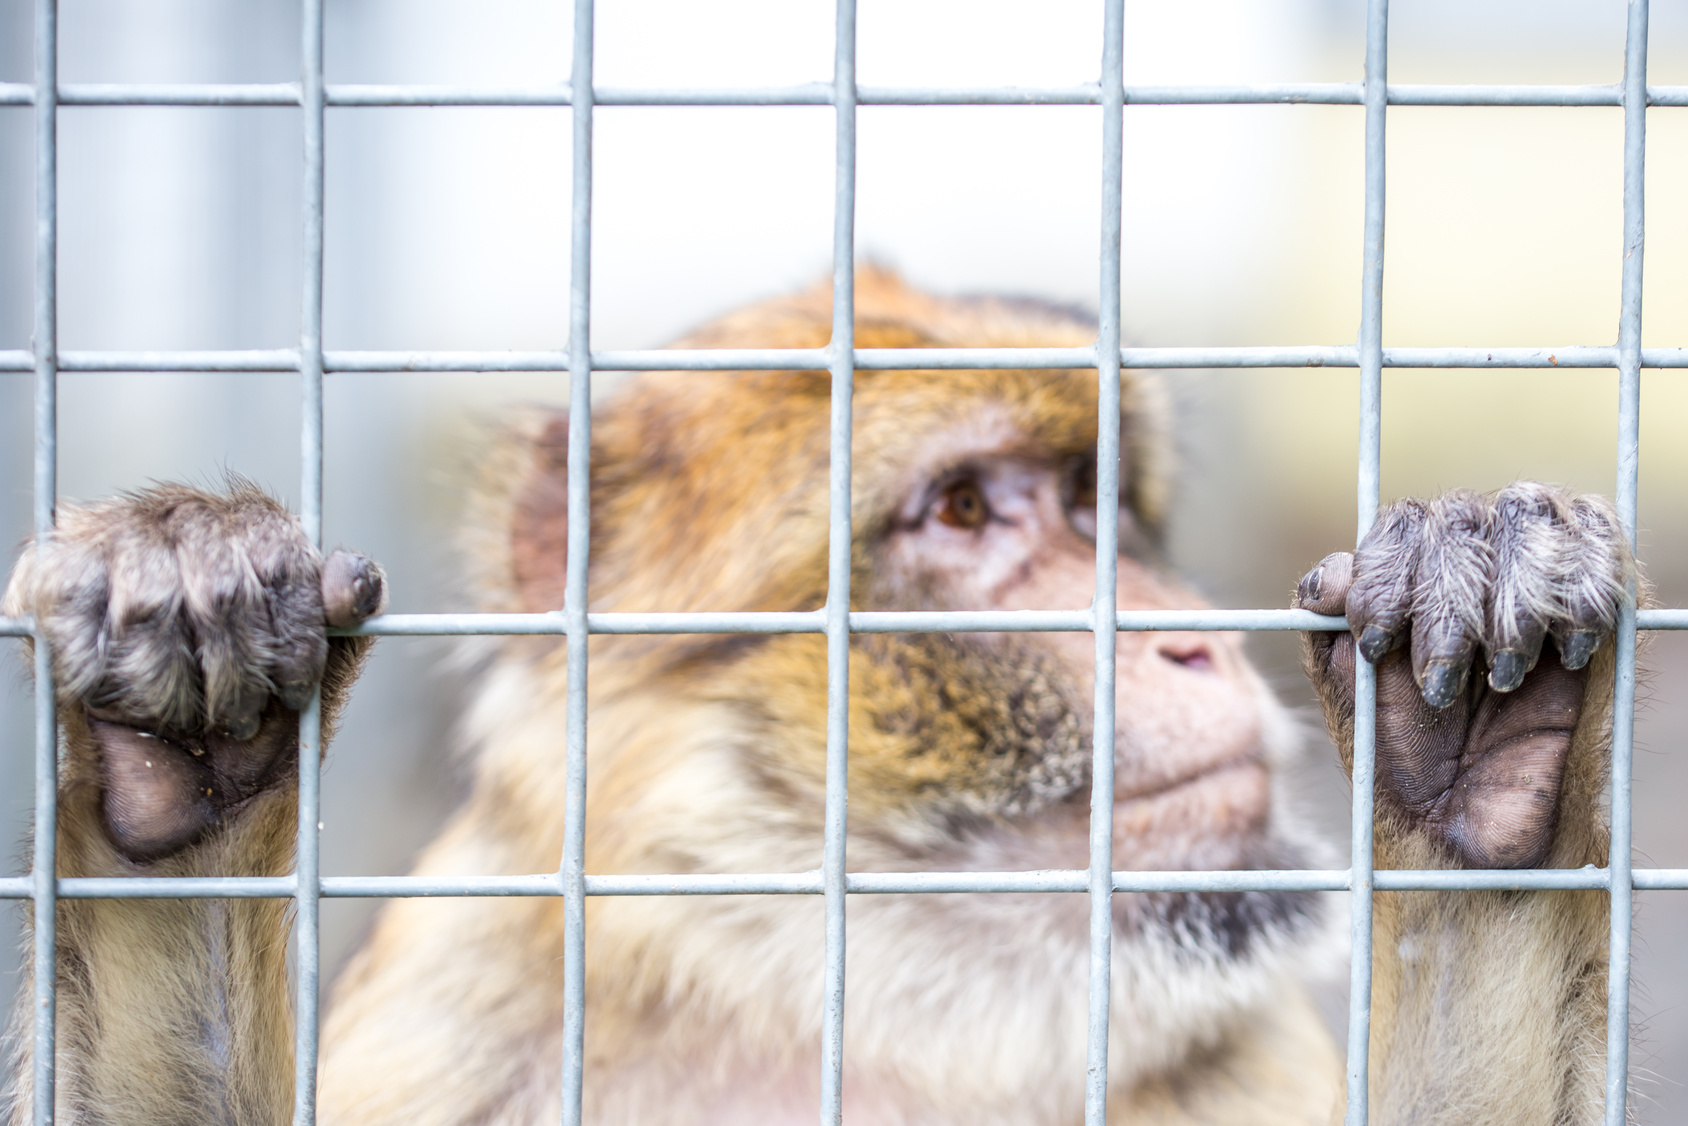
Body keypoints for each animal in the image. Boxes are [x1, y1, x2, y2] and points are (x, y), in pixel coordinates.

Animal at [0, 273, 1627, 1126]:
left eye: (1095, 505)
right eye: (964, 509)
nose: (1188, 644)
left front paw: (1467, 765)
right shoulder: (453, 1020)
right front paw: (194, 772)